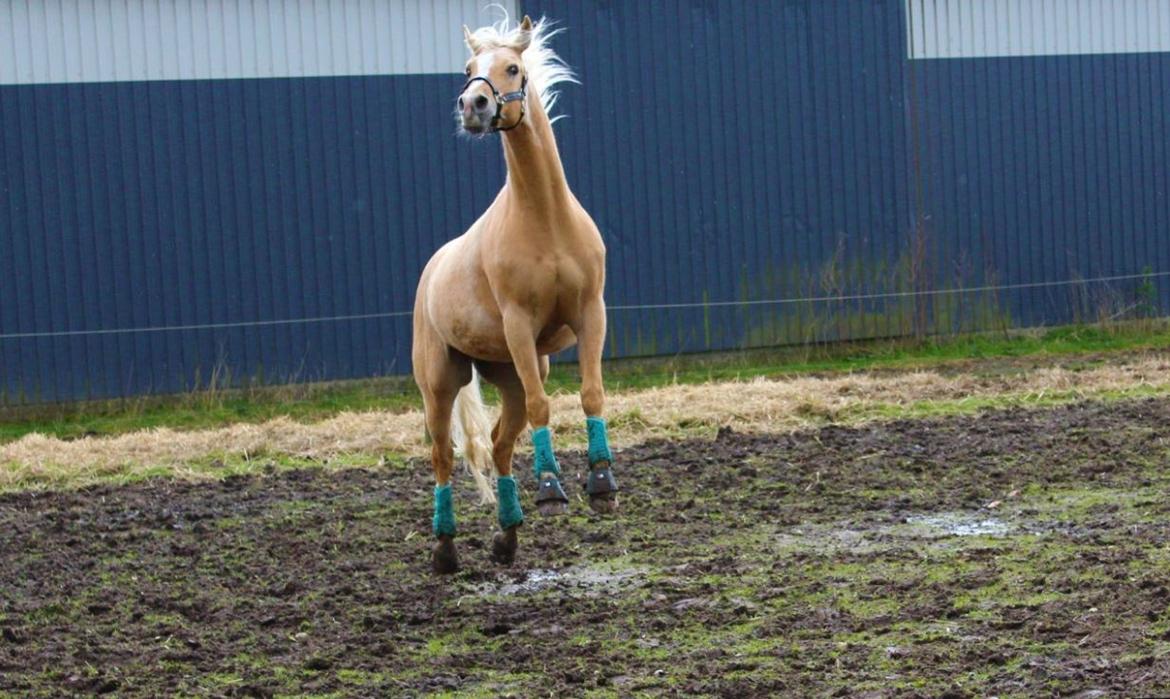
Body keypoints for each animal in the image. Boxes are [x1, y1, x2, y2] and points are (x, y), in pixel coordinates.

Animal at [411, 15, 617, 571]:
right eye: (468, 68)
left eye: (512, 68)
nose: (473, 105)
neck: (544, 218)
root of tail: (430, 271)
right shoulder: (520, 324)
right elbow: (547, 407)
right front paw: (550, 489)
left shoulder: (591, 314)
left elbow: (591, 392)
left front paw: (601, 482)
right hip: (441, 382)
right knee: (442, 454)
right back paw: (445, 547)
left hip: (509, 375)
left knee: (501, 443)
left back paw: (507, 534)